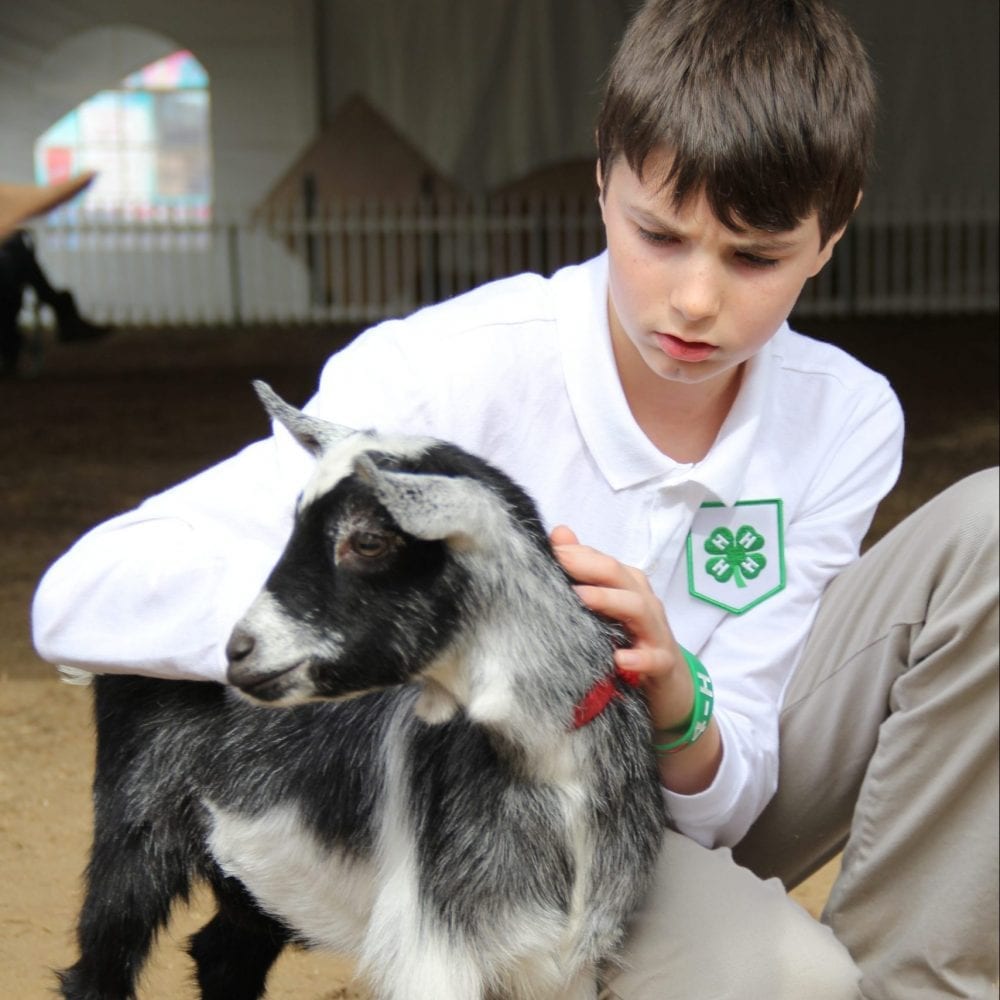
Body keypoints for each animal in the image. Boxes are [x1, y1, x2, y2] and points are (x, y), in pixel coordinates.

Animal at [58, 382, 666, 1000]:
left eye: (369, 540)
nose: (239, 650)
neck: (549, 769)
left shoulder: (566, 961)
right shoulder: (436, 951)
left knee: (223, 953)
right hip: (136, 820)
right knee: (100, 964)